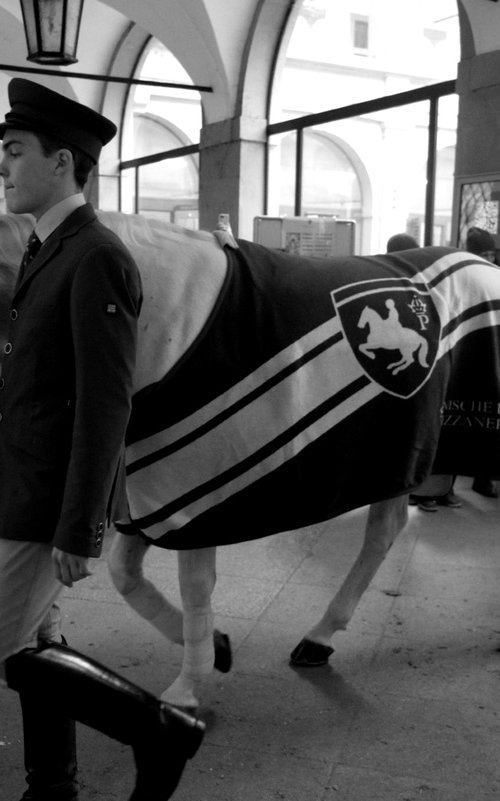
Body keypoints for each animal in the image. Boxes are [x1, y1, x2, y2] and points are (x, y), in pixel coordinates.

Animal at [0, 209, 500, 708]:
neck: (175, 317)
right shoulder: (155, 498)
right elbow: (126, 576)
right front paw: (215, 646)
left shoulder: (191, 498)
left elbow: (195, 587)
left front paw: (187, 688)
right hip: (398, 458)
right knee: (384, 532)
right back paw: (320, 637)